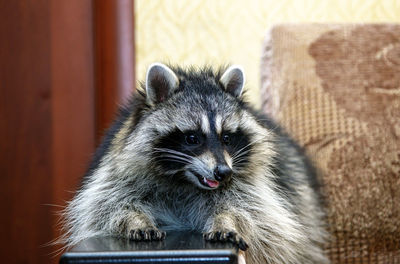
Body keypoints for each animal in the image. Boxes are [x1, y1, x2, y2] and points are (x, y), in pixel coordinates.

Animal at [62, 63, 328, 264]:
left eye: (227, 138)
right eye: (192, 138)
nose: (223, 172)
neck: (184, 181)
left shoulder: (251, 185)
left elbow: (253, 211)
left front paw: (227, 220)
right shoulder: (117, 172)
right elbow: (105, 206)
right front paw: (133, 219)